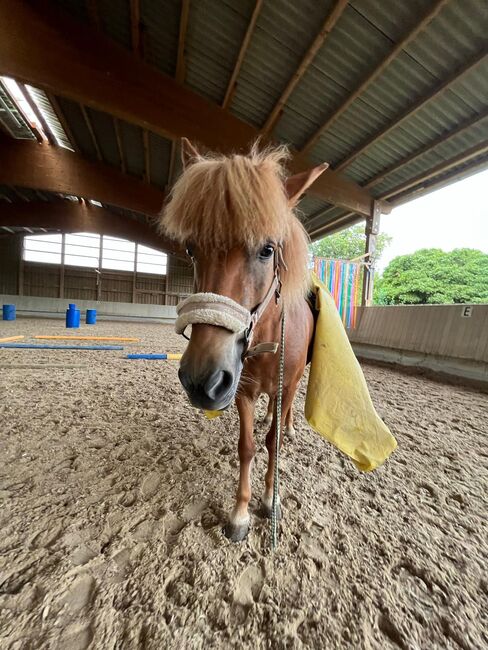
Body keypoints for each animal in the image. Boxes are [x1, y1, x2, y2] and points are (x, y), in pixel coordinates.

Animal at [160, 140, 328, 540]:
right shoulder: (244, 390)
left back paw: (289, 426)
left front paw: (269, 500)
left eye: (267, 250)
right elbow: (248, 446)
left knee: (284, 417)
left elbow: (273, 443)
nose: (200, 381)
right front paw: (239, 514)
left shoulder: (285, 384)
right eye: (191, 249)